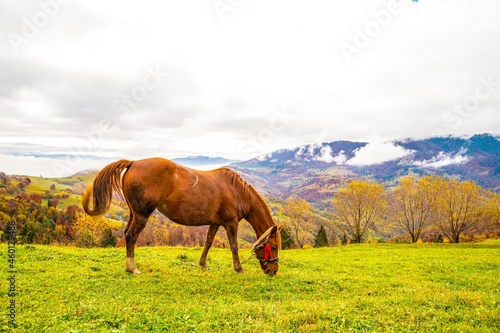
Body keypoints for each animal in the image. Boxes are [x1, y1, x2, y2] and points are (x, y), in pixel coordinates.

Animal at [84, 158, 284, 274]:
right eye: (273, 247)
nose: (273, 271)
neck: (236, 191)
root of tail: (133, 162)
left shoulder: (215, 223)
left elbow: (208, 243)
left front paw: (202, 264)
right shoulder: (230, 223)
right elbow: (234, 246)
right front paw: (239, 268)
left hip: (134, 213)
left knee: (126, 234)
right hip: (142, 215)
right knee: (132, 236)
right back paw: (132, 268)